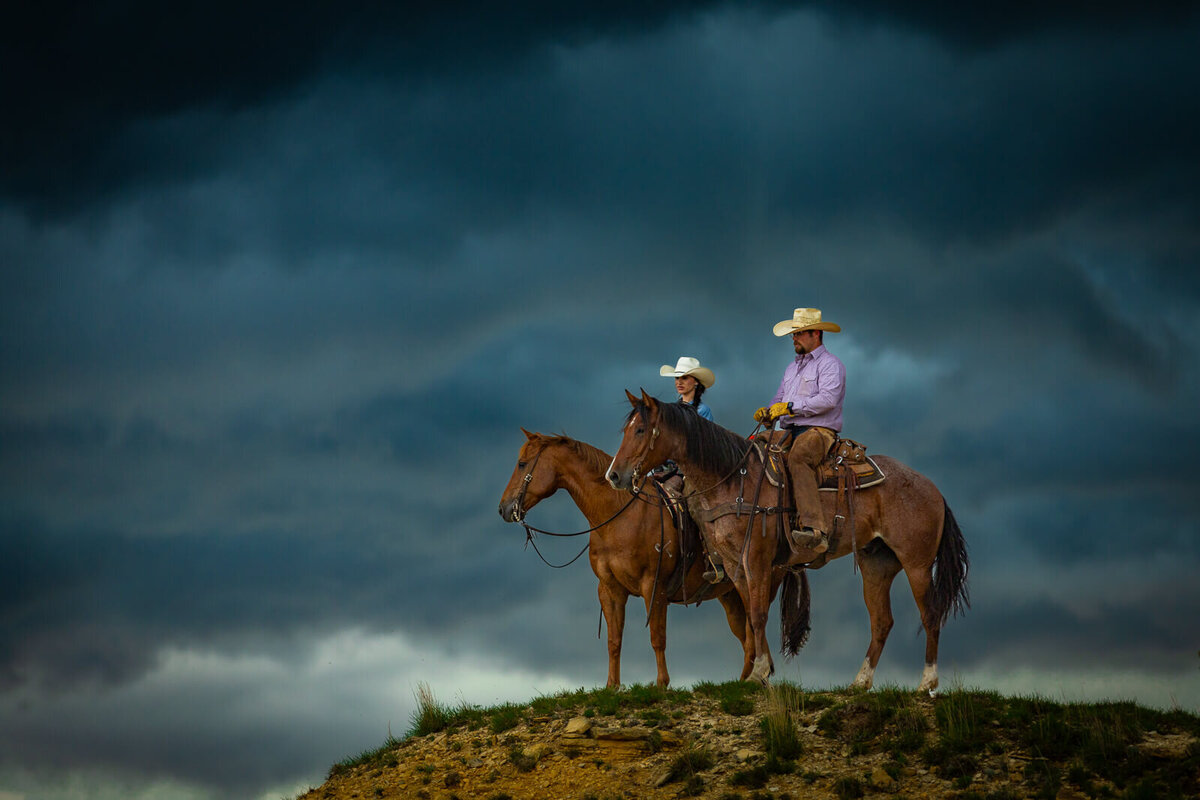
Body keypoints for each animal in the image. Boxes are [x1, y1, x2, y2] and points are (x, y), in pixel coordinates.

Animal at [496, 431, 806, 690]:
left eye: (522, 464)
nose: (504, 508)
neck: (618, 516)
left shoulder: (653, 586)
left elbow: (657, 636)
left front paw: (661, 684)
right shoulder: (609, 589)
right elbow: (614, 640)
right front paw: (612, 687)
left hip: (758, 582)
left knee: (755, 625)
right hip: (729, 595)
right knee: (745, 633)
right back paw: (746, 678)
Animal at [604, 391, 969, 690]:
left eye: (640, 430)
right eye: (625, 430)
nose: (615, 475)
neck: (732, 480)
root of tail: (931, 488)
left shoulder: (756, 559)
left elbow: (757, 615)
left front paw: (759, 672)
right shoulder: (735, 566)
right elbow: (752, 617)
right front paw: (758, 672)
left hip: (917, 563)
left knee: (930, 614)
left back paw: (926, 683)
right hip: (876, 564)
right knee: (881, 622)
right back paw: (860, 682)